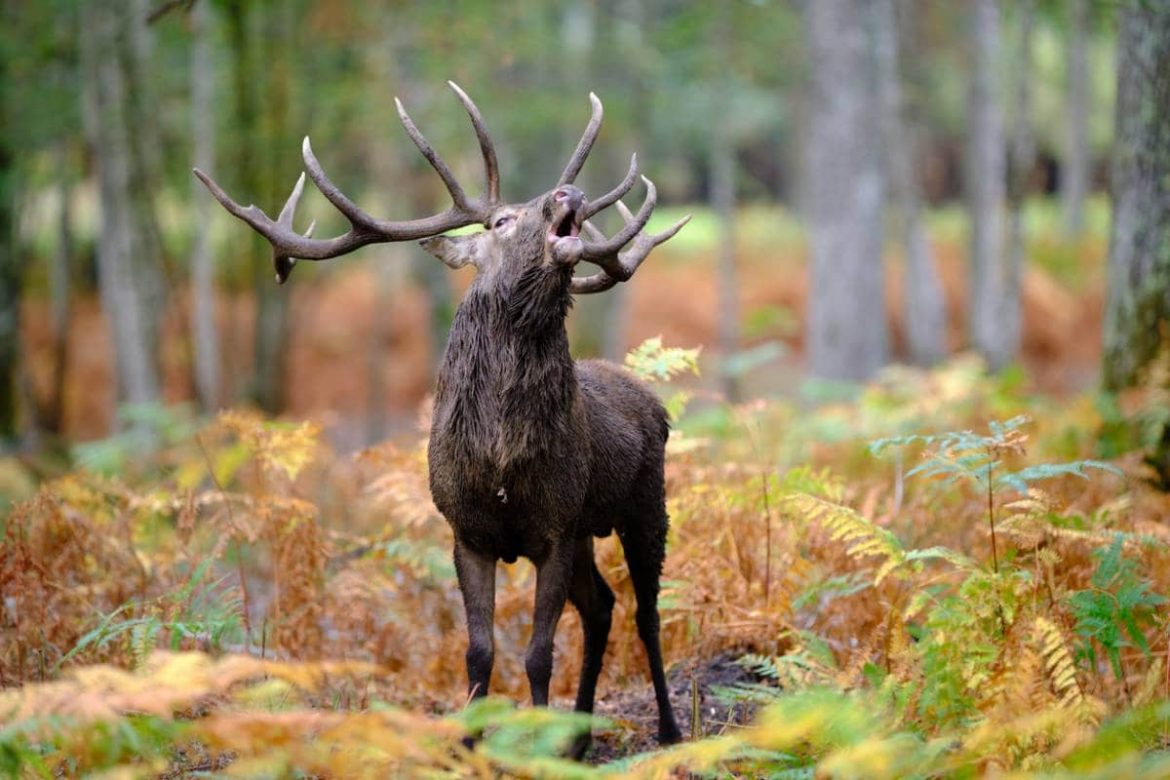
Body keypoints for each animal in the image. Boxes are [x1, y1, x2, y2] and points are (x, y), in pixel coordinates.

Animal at [194, 82, 687, 754]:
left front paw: (534, 749)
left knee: (646, 612)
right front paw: (471, 745)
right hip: (590, 526)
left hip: (645, 505)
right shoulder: (467, 533)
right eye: (501, 221)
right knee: (602, 606)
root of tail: (652, 403)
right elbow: (478, 653)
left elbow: (537, 655)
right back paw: (580, 742)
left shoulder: (554, 530)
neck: (501, 464)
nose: (570, 194)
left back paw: (668, 729)